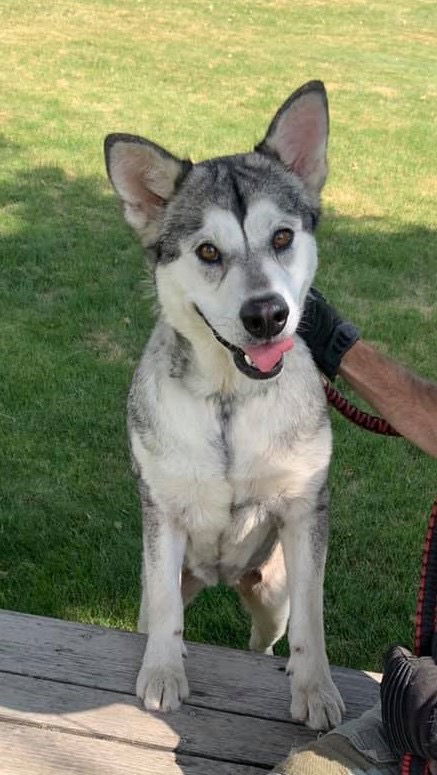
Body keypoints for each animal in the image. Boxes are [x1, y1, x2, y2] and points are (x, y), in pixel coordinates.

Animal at [104, 80, 344, 732]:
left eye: (282, 237)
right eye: (208, 251)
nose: (266, 314)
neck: (229, 403)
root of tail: (223, 577)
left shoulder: (304, 511)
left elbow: (314, 617)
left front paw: (315, 689)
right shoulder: (161, 513)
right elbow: (166, 612)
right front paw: (164, 672)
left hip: (270, 591)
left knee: (267, 635)